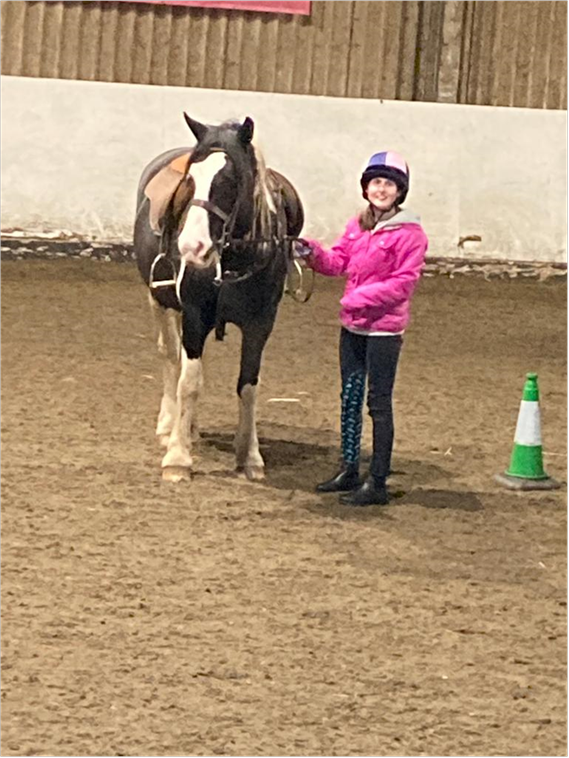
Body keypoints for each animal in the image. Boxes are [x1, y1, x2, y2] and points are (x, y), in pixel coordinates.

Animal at [134, 114, 304, 483]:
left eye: (229, 180)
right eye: (190, 179)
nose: (192, 247)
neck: (234, 260)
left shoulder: (260, 325)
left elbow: (248, 386)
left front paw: (250, 456)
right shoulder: (195, 315)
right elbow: (189, 382)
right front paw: (177, 458)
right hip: (160, 301)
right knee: (171, 357)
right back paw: (170, 426)